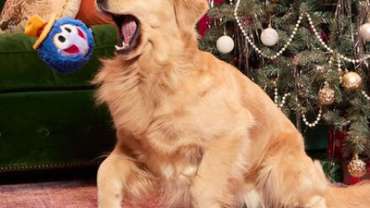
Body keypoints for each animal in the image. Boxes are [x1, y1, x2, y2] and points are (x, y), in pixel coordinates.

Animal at [92, 0, 370, 208]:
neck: (153, 74)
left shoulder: (229, 134)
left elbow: (202, 187)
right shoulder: (133, 148)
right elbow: (103, 173)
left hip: (277, 170)